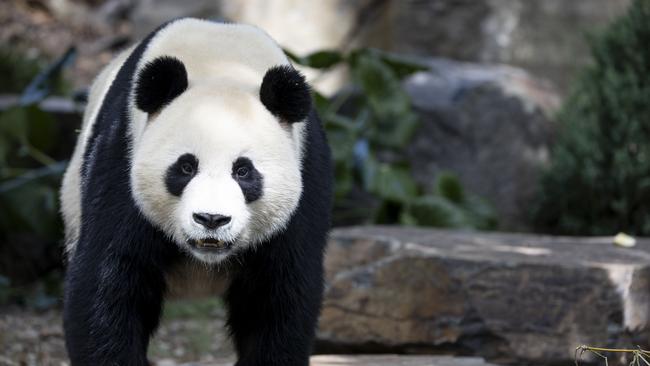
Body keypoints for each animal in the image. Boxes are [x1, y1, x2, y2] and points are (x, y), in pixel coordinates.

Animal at [58, 17, 332, 366]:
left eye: (243, 171)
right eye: (186, 167)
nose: (211, 219)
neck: (222, 64)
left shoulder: (306, 176)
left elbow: (280, 299)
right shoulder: (120, 157)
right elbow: (105, 284)